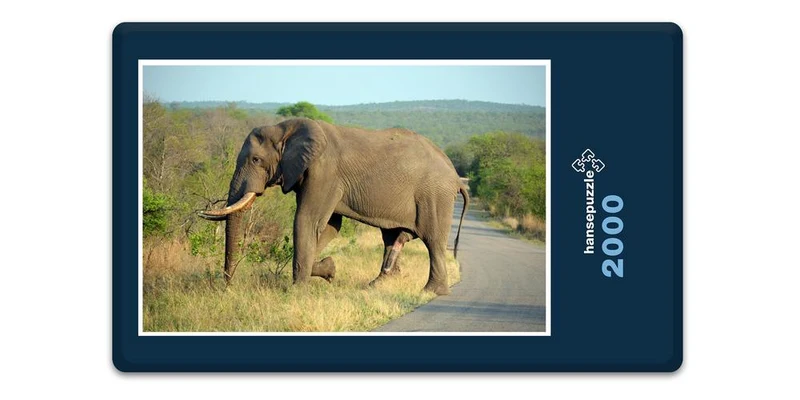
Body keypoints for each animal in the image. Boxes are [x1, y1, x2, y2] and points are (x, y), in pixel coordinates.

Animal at [199, 118, 469, 295]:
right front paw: (329, 270)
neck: (286, 128)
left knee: (433, 239)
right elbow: (329, 226)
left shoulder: (324, 171)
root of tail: (456, 177)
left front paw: (297, 292)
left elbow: (307, 220)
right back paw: (377, 284)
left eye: (256, 160)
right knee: (393, 237)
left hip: (435, 195)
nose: (228, 287)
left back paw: (431, 292)